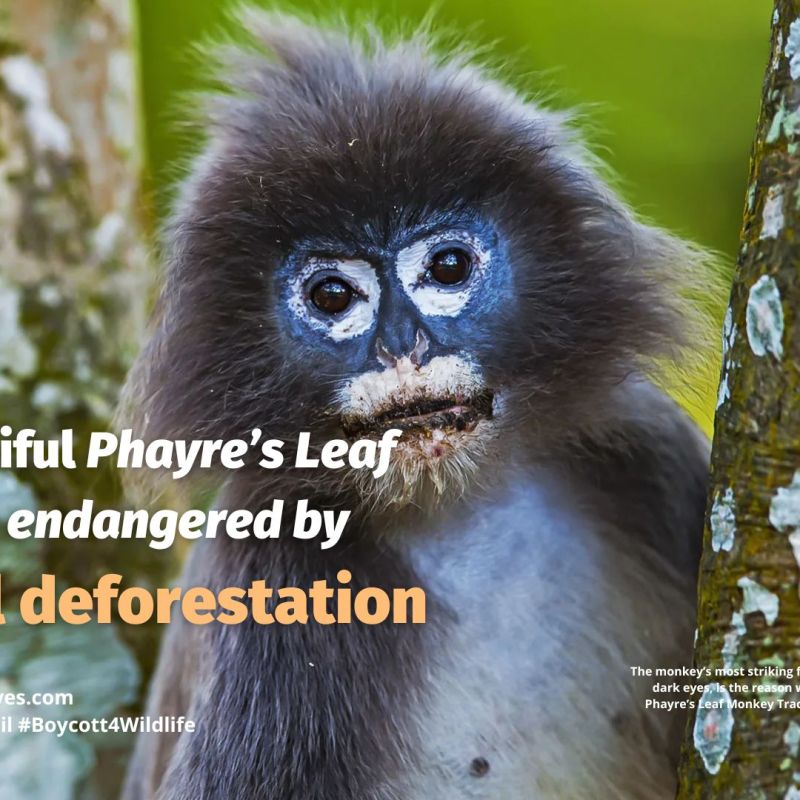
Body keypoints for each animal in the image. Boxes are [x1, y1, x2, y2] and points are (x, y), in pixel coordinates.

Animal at [119, 11, 718, 800]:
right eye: (332, 295)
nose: (403, 346)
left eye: (449, 267)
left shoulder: (645, 445)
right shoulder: (274, 576)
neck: (460, 515)